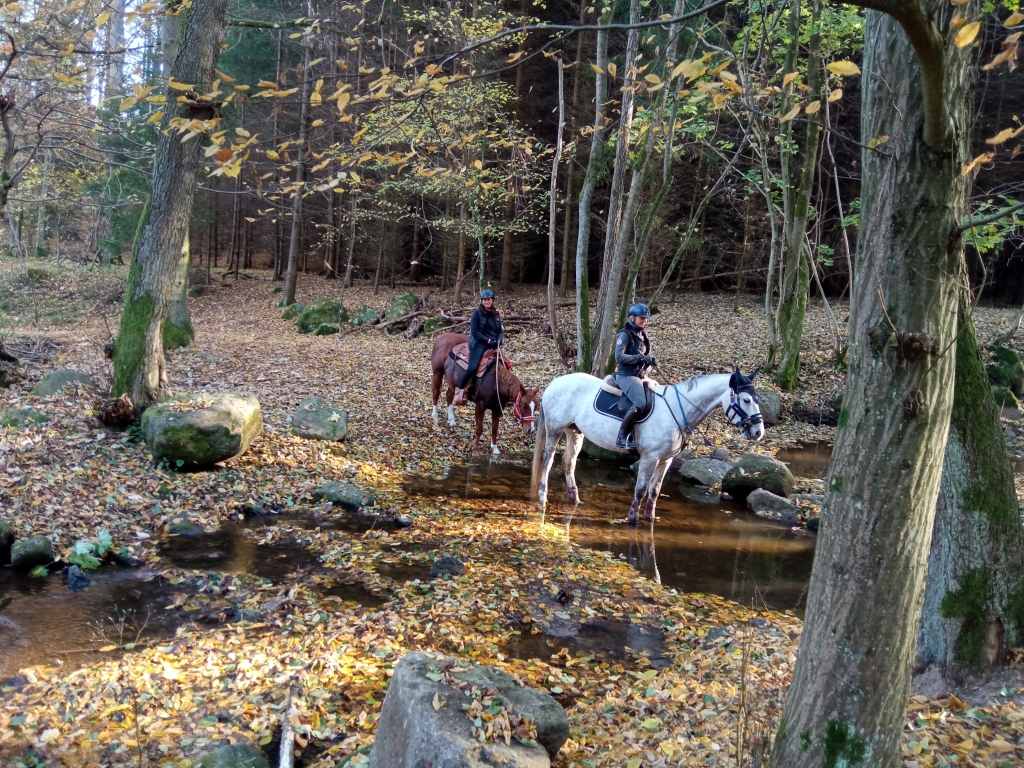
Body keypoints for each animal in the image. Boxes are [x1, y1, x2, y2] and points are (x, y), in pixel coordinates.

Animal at [532, 368, 765, 528]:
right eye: (746, 400)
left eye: (757, 399)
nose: (758, 432)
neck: (677, 409)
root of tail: (555, 382)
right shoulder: (649, 458)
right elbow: (641, 489)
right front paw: (632, 519)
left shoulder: (665, 460)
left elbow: (654, 490)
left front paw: (649, 518)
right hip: (554, 430)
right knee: (548, 460)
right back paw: (542, 498)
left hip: (575, 432)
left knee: (568, 463)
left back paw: (575, 499)